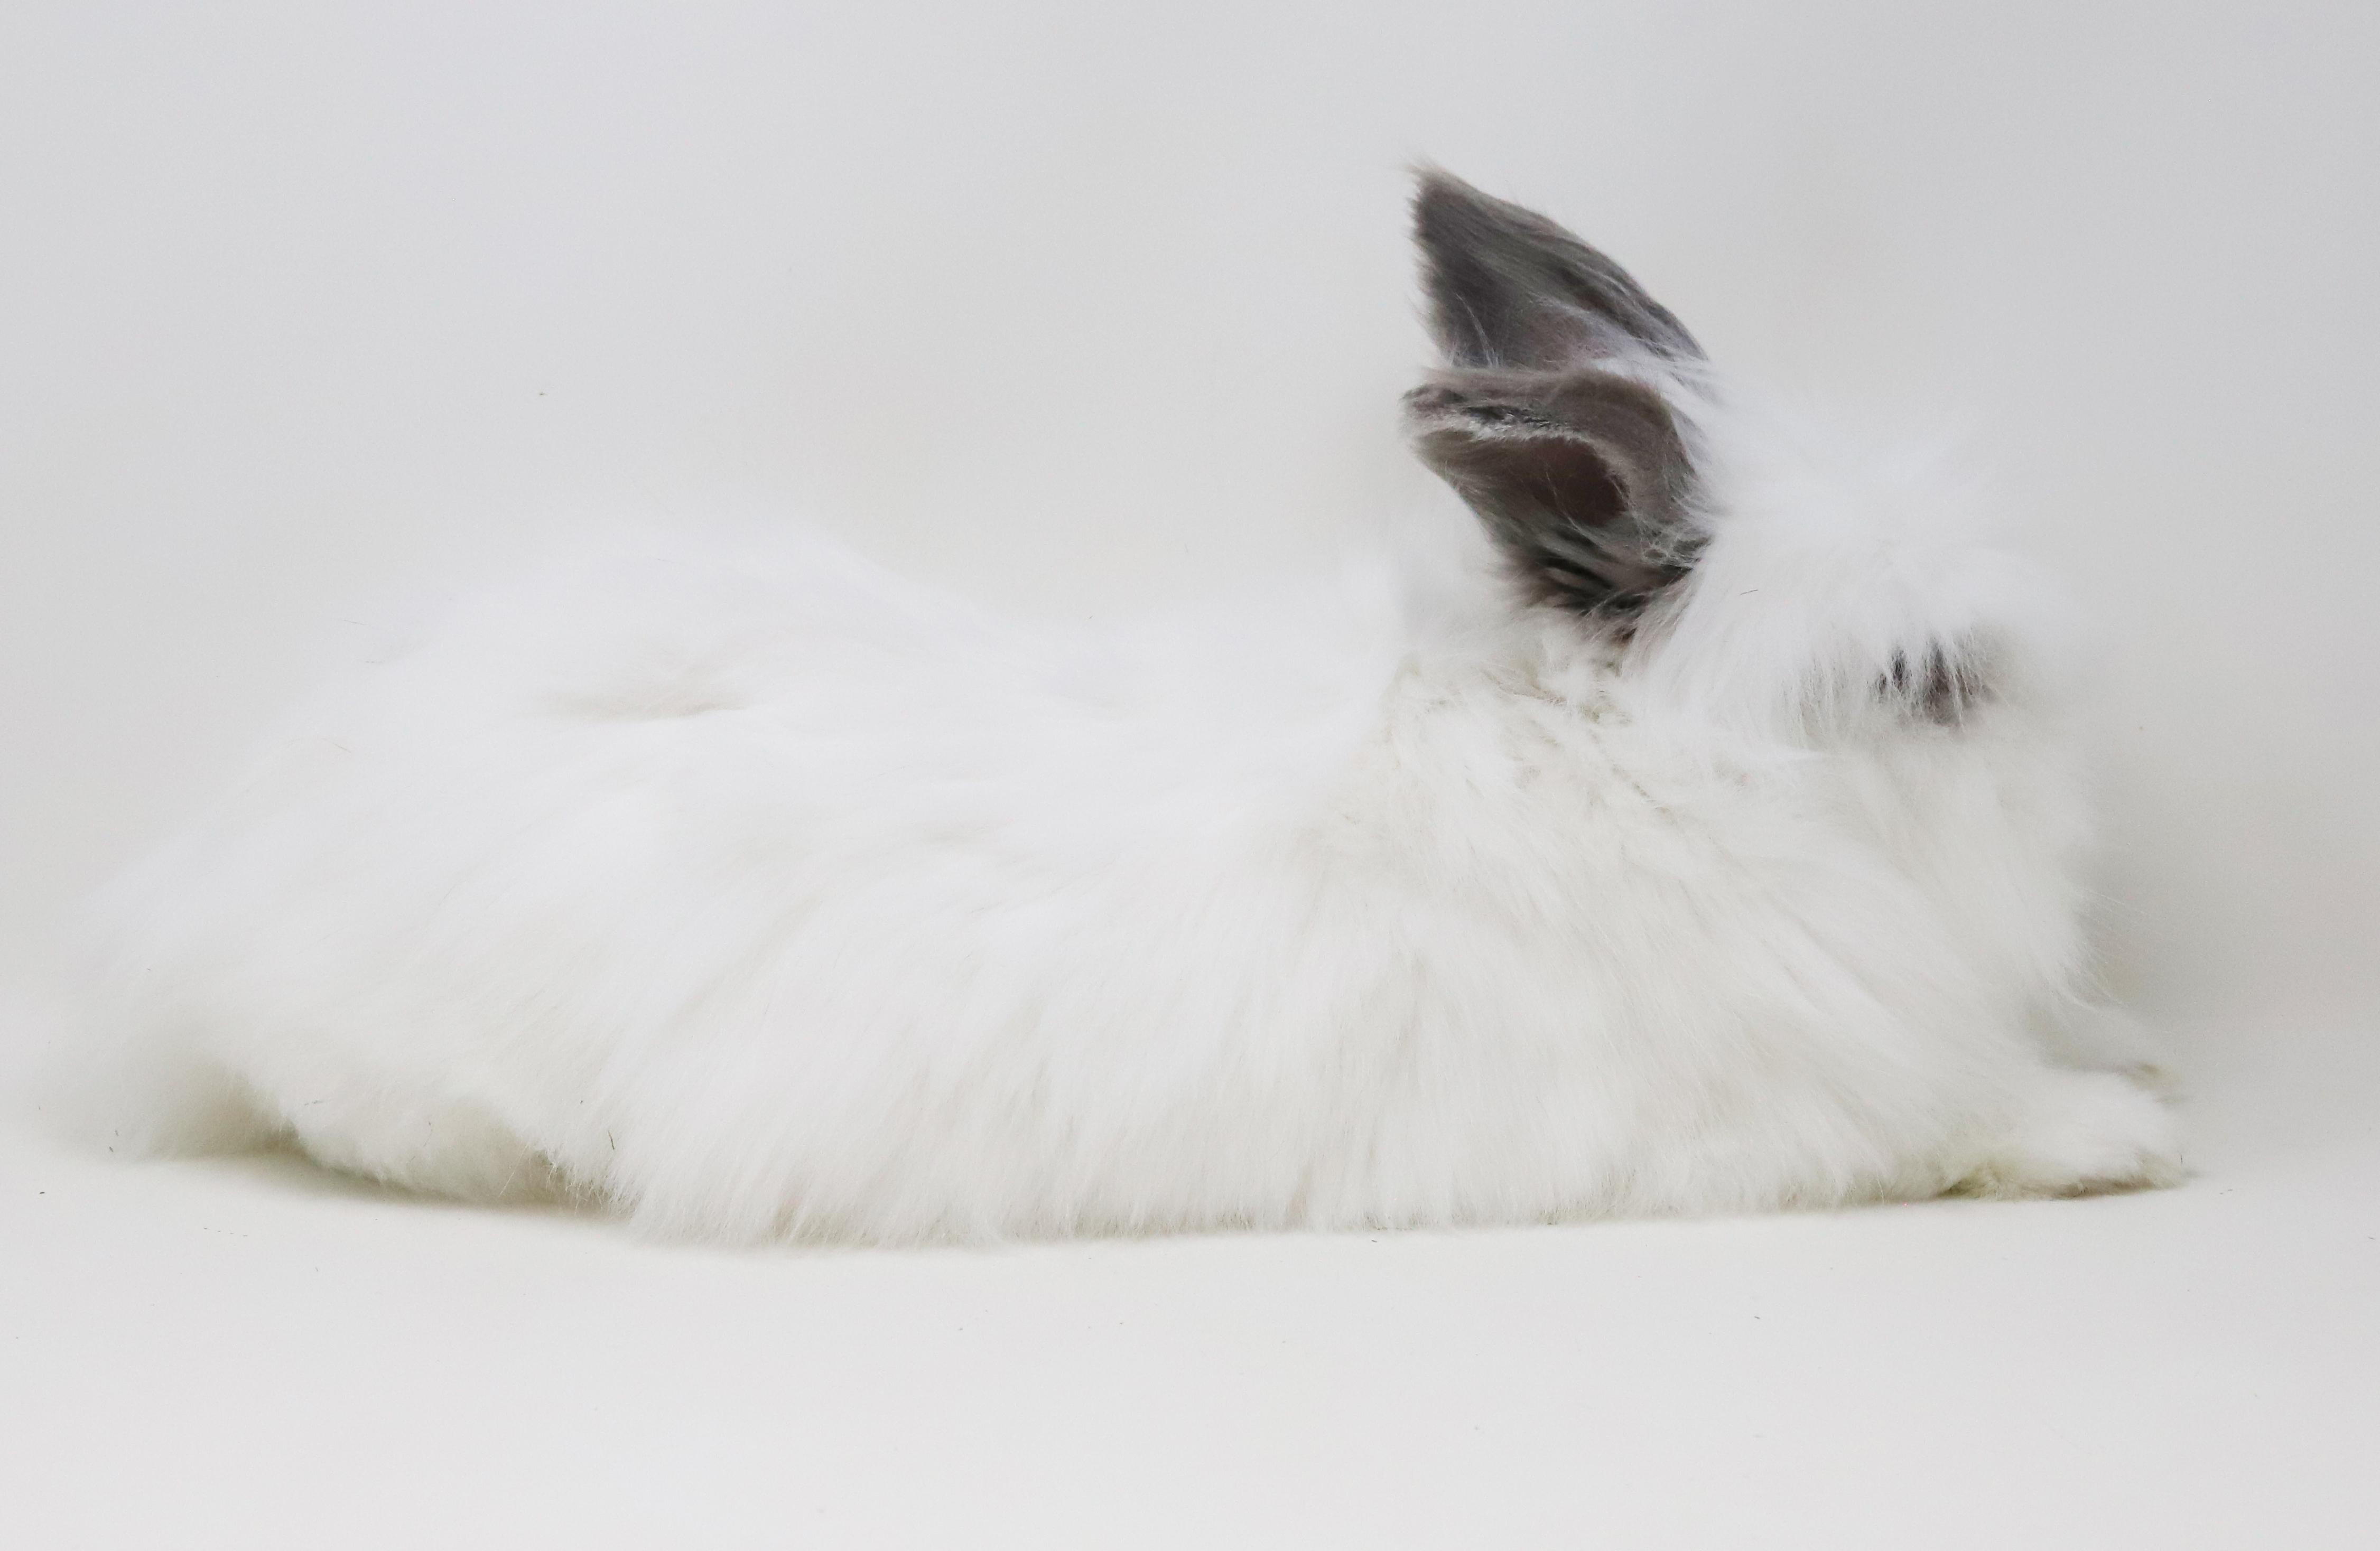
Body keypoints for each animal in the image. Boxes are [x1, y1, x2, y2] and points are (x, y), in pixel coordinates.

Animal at [79, 169, 2181, 1244]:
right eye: (1922, 683)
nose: (2078, 770)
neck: (1644, 772)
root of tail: (207, 898)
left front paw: (2139, 1060)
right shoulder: (1760, 1110)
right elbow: (1952, 1120)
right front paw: (2118, 1135)